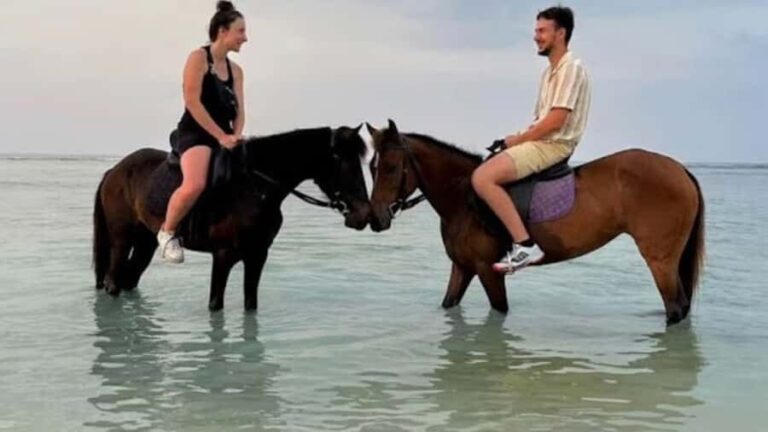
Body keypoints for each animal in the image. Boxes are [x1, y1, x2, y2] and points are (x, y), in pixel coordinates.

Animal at [93, 125, 370, 310]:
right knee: (113, 281)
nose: (363, 214)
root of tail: (114, 171)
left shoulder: (257, 256)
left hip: (146, 242)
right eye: (342, 160)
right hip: (122, 239)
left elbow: (251, 304)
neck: (256, 188)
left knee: (128, 277)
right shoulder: (223, 255)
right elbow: (216, 304)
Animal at [365, 120, 704, 325]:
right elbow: (449, 303)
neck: (463, 198)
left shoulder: (488, 269)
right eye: (371, 166)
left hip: (660, 260)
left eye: (392, 167)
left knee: (675, 308)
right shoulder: (462, 267)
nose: (376, 218)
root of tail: (679, 169)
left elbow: (499, 310)